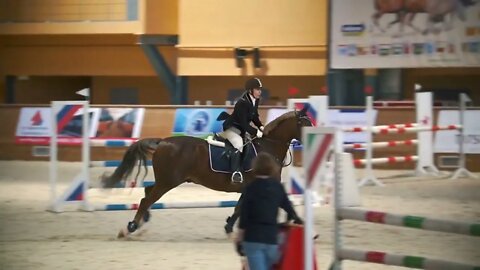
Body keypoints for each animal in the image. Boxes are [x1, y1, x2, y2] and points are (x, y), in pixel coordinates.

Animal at [101, 106, 312, 237]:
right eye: (305, 123)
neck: (268, 147)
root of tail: (163, 142)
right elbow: (279, 204)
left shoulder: (249, 187)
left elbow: (239, 207)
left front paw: (228, 226)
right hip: (168, 181)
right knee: (147, 198)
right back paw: (132, 226)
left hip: (166, 180)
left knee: (147, 193)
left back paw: (143, 220)